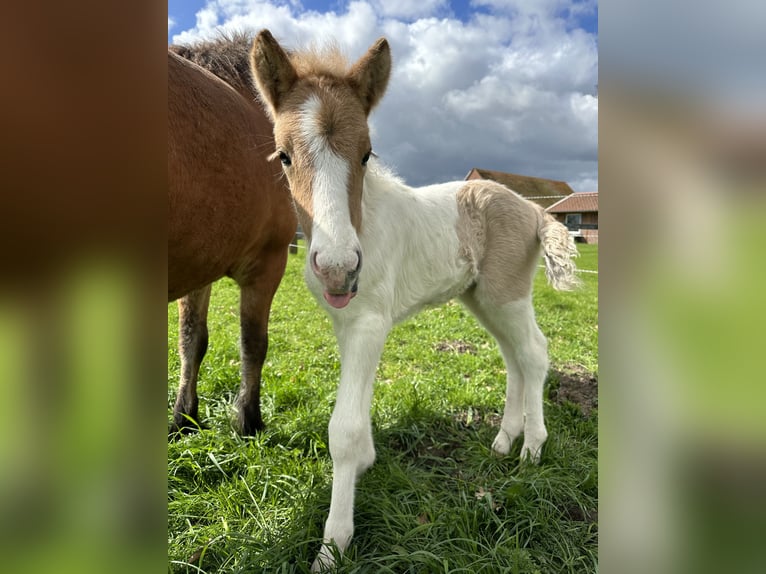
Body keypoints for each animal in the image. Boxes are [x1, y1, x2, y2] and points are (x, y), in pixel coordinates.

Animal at [168, 35, 297, 436]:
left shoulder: (198, 267)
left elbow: (192, 339)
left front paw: (184, 416)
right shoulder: (268, 264)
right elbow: (253, 343)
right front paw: (249, 419)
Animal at [249, 30, 580, 570]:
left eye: (367, 153)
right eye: (283, 155)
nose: (338, 268)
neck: (362, 223)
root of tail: (533, 210)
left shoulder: (369, 322)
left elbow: (343, 428)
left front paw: (332, 545)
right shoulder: (346, 323)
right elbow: (358, 408)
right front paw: (366, 463)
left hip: (506, 295)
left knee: (533, 353)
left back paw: (532, 447)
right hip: (482, 300)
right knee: (513, 358)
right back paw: (504, 440)